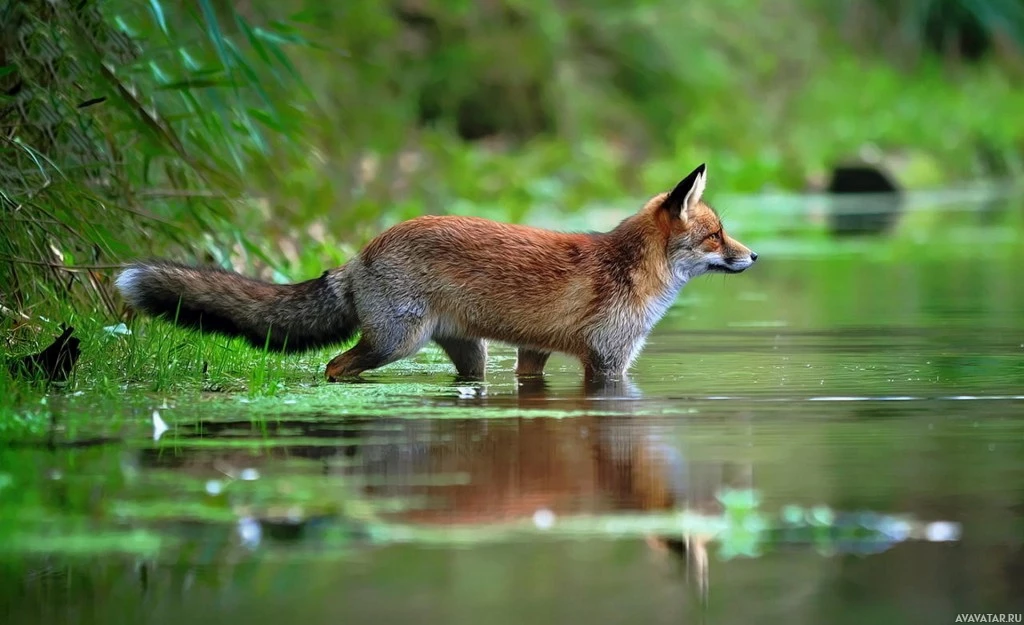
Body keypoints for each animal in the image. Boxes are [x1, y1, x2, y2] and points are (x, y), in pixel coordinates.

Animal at [117, 162, 761, 379]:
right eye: (716, 236)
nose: (754, 257)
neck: (631, 269)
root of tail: (359, 255)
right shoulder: (608, 361)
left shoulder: (535, 353)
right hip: (395, 344)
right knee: (334, 366)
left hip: (469, 354)